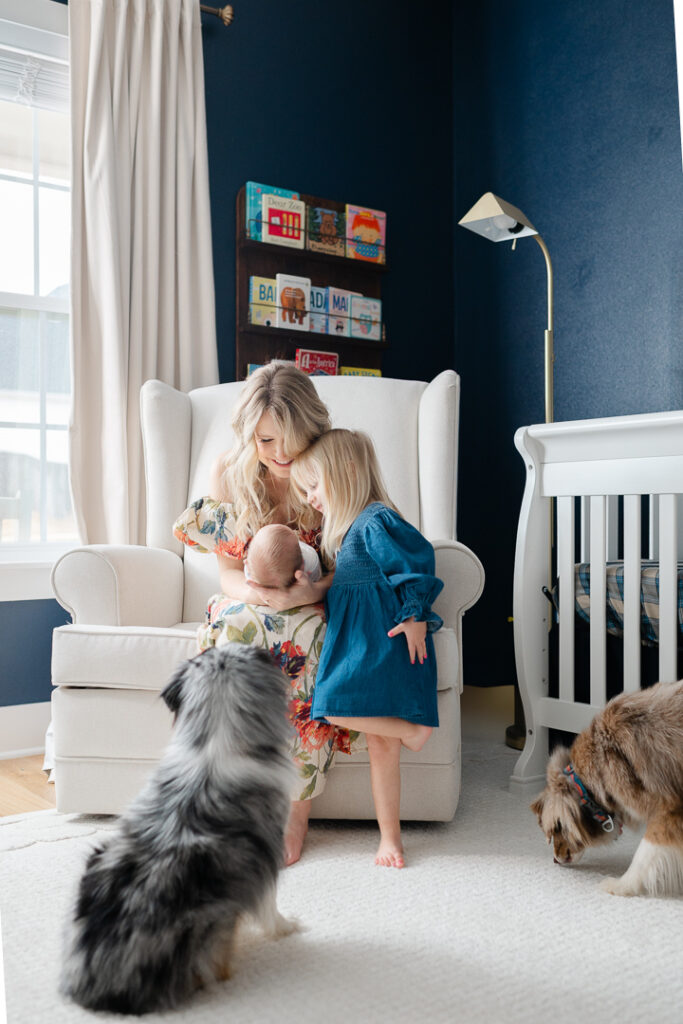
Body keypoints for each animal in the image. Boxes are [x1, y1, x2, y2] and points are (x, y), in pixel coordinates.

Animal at [60, 643, 301, 1011]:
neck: (214, 742)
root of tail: (101, 984)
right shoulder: (266, 856)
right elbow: (270, 907)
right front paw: (287, 928)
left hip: (94, 863)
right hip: (217, 917)